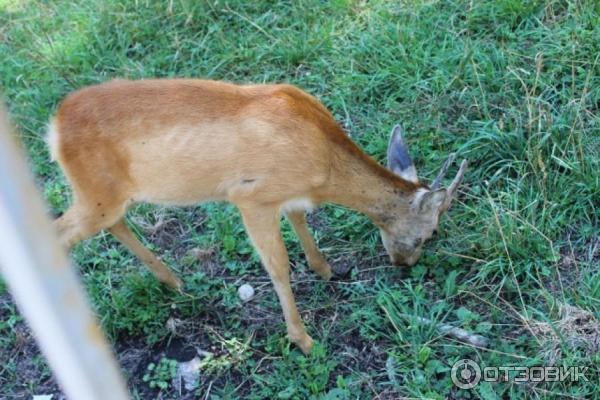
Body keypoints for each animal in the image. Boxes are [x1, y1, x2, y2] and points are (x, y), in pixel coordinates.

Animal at [48, 78, 468, 354]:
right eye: (428, 233)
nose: (406, 265)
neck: (324, 160)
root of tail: (54, 129)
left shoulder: (287, 195)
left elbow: (301, 221)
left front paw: (325, 269)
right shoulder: (250, 197)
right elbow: (278, 266)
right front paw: (304, 340)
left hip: (106, 197)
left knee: (111, 224)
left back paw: (174, 281)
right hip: (95, 194)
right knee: (58, 234)